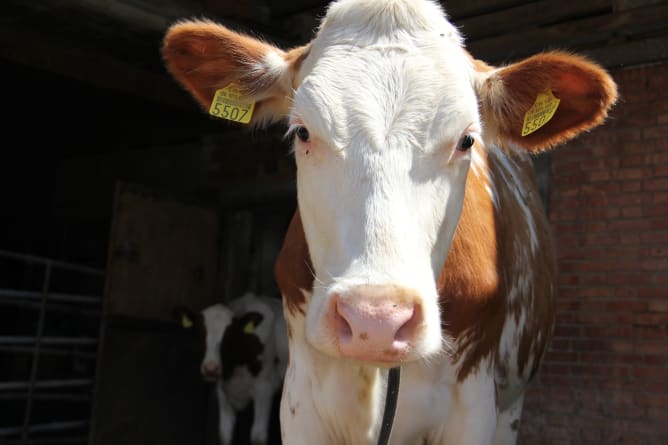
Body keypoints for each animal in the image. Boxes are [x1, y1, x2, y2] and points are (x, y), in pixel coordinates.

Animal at [175, 292, 288, 445]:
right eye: (200, 333)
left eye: (230, 336)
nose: (210, 368)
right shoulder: (223, 391)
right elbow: (224, 435)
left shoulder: (264, 389)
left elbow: (258, 437)